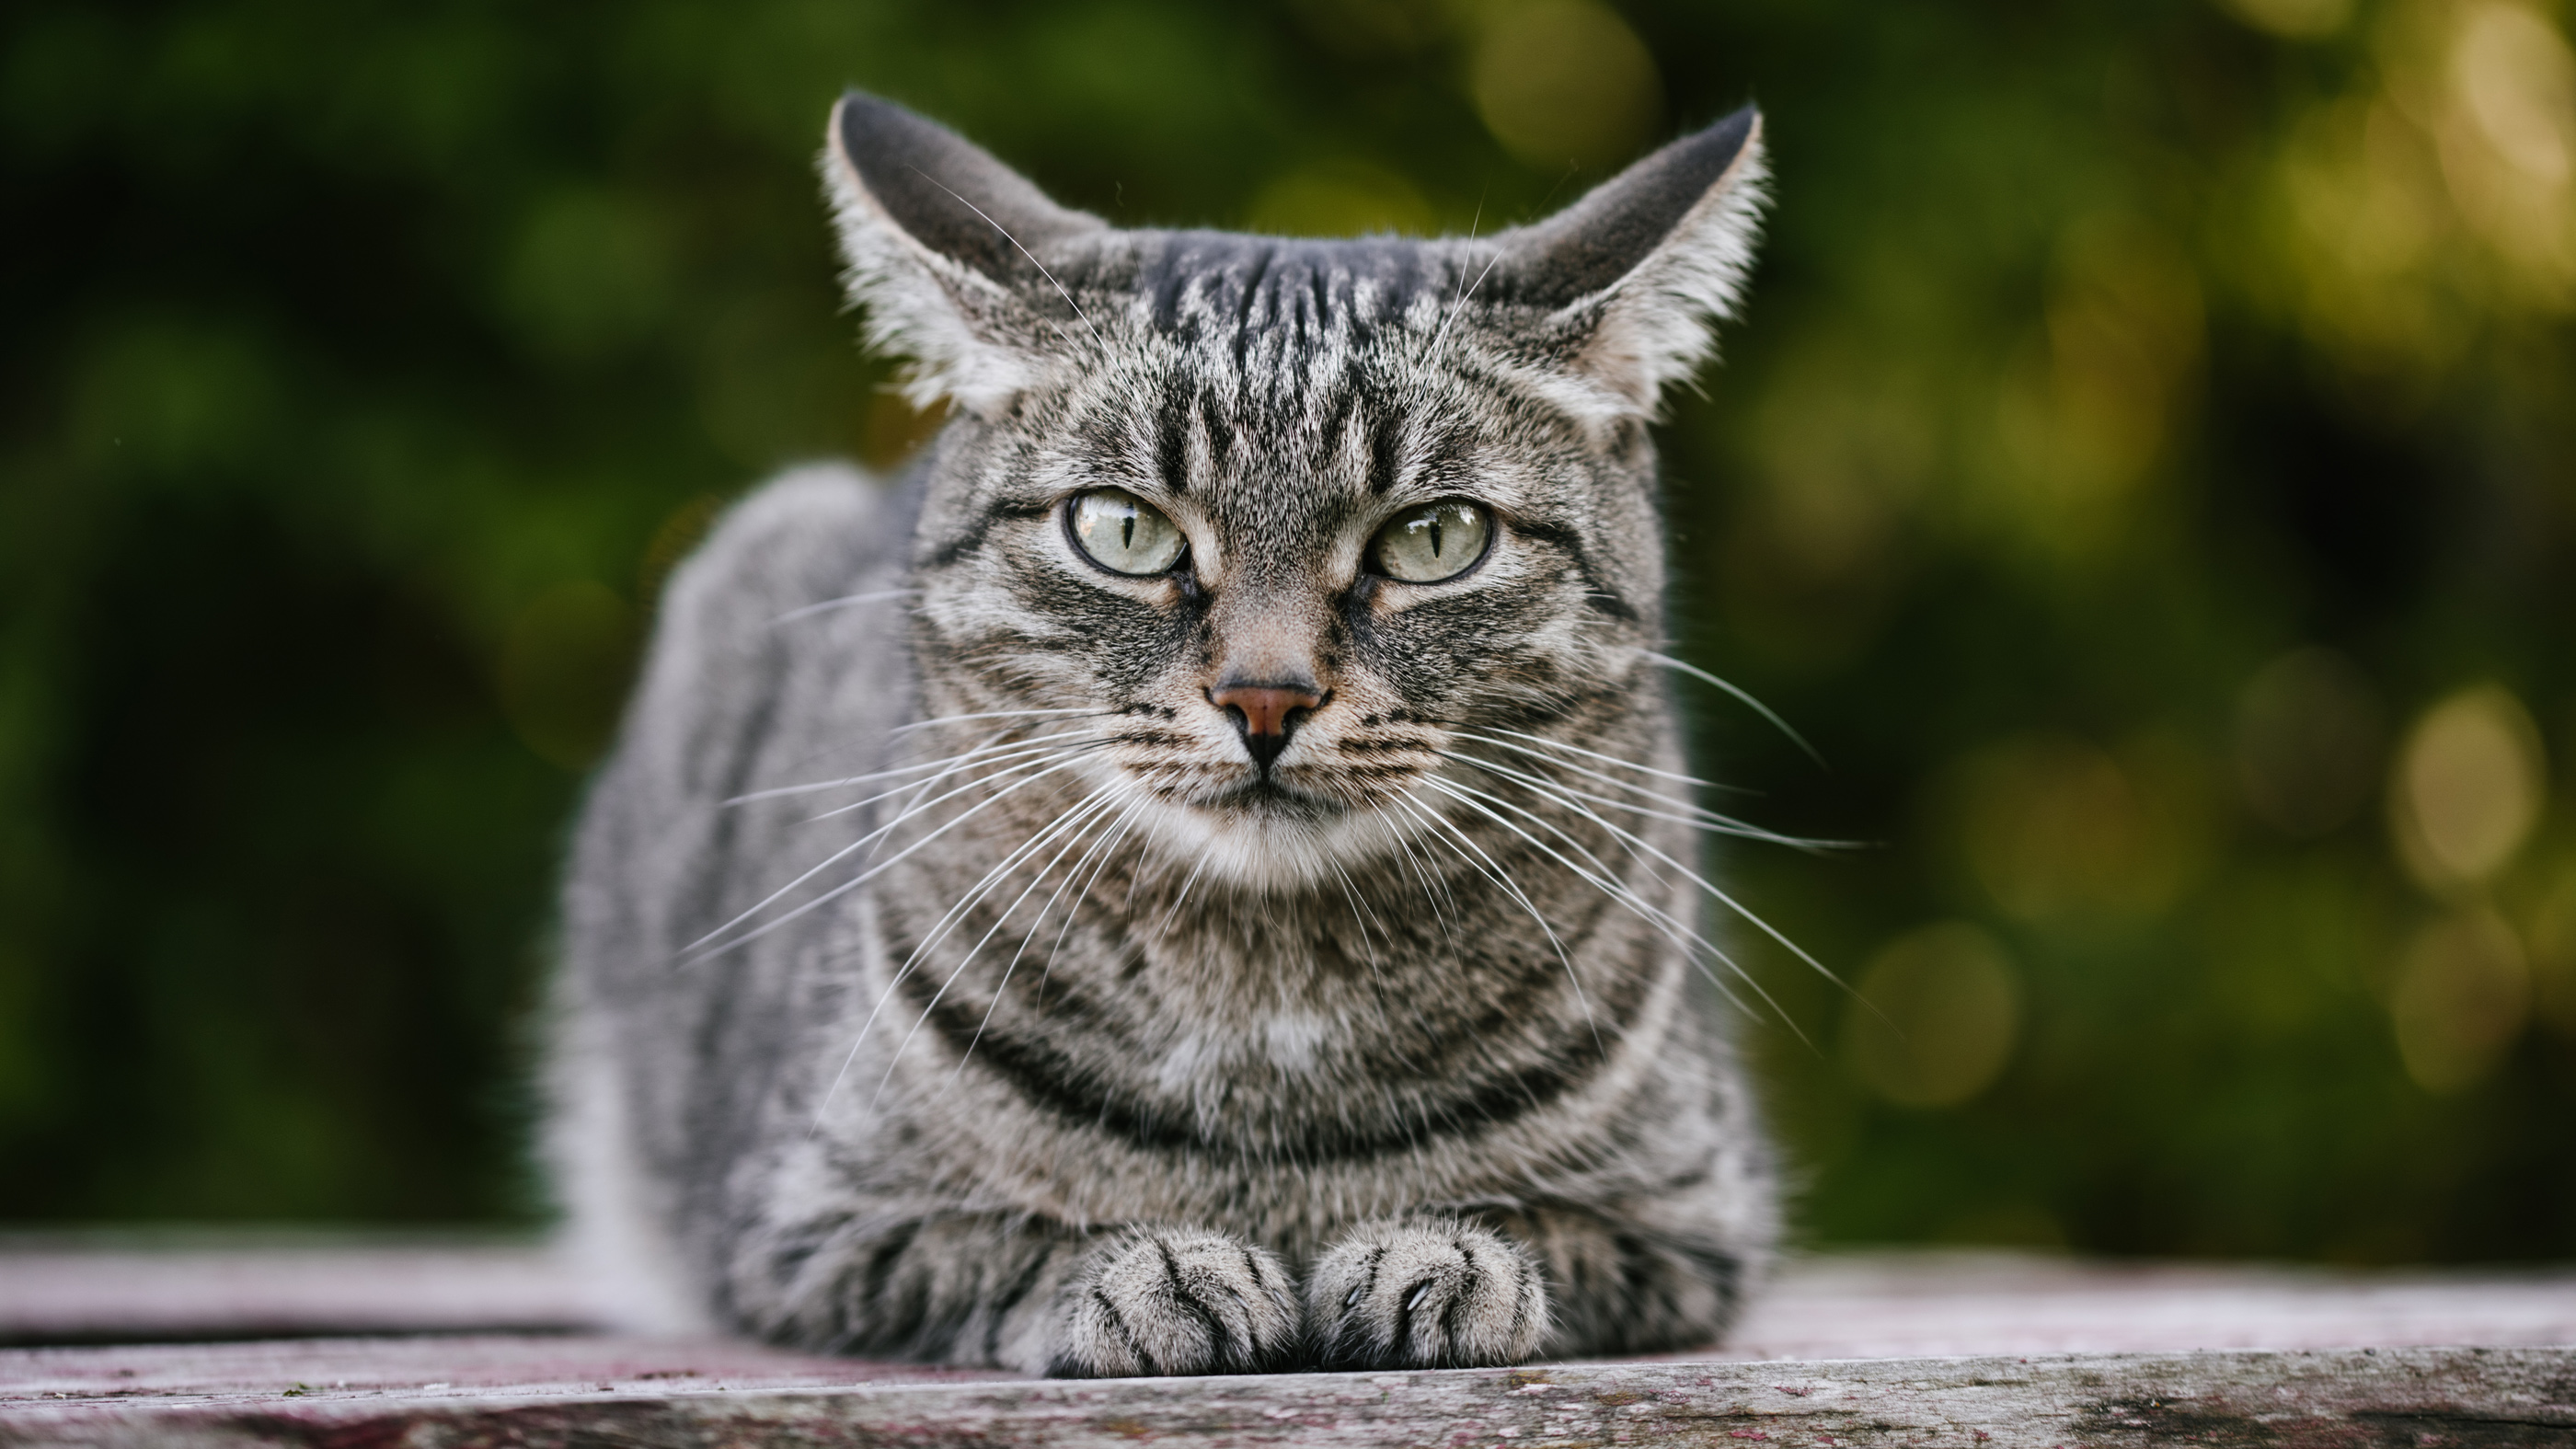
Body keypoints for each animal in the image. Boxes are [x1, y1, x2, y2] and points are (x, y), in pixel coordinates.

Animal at [554, 90, 1782, 1371]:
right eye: (1123, 530)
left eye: (1434, 537)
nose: (1265, 697)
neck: (1269, 1014)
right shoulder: (810, 1222)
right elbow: (1006, 1246)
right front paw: (1158, 1274)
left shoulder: (1694, 1215)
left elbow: (1546, 1233)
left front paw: (1440, 1258)